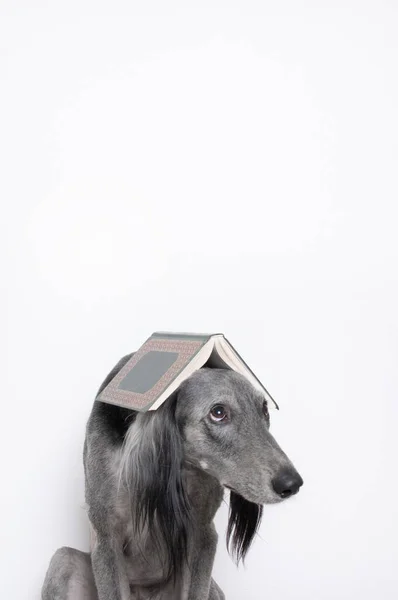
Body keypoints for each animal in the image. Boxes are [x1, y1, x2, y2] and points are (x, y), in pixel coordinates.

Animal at [42, 354, 304, 596]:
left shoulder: (202, 535)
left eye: (264, 409)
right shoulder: (107, 535)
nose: (291, 483)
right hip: (63, 561)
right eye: (218, 412)